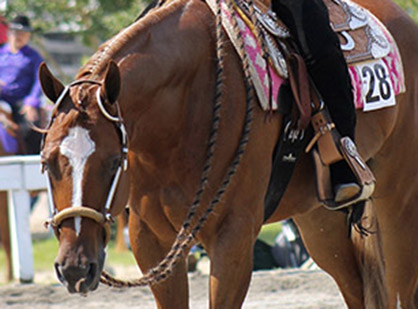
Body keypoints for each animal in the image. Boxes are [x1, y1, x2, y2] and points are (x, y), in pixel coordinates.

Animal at [37, 0, 416, 306]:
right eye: (48, 163)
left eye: (114, 162)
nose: (75, 268)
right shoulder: (151, 240)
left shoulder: (232, 237)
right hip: (319, 219)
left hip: (398, 204)